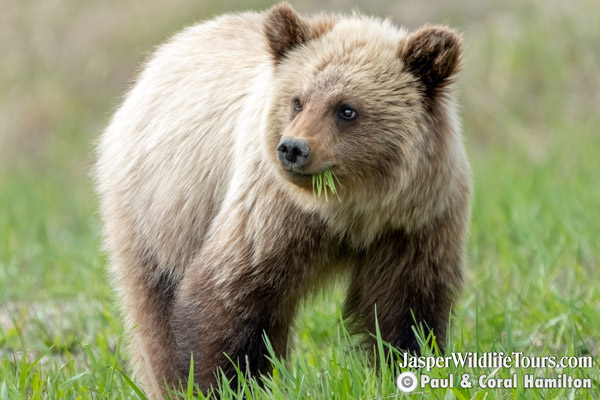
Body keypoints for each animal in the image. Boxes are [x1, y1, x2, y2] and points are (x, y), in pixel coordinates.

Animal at [95, 2, 468, 396]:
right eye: (298, 101)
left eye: (346, 108)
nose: (292, 148)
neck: (352, 210)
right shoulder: (274, 212)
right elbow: (230, 295)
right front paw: (227, 383)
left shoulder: (415, 222)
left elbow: (406, 307)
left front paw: (405, 370)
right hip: (159, 210)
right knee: (154, 314)